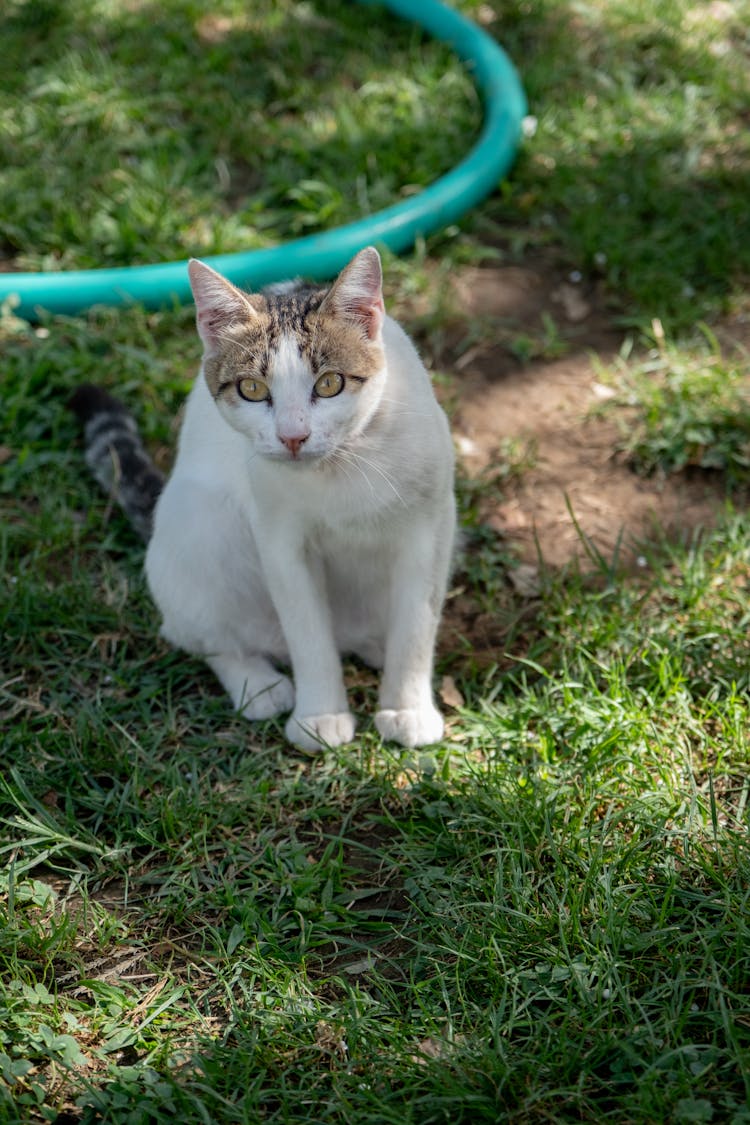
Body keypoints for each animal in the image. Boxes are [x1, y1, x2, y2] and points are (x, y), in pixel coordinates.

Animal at [71, 249, 458, 751]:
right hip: (198, 524)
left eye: (330, 384)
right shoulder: (281, 541)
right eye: (252, 389)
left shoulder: (430, 528)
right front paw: (319, 716)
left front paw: (406, 708)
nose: (293, 436)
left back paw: (375, 646)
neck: (342, 465)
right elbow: (308, 633)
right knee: (196, 634)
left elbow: (416, 625)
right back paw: (257, 684)